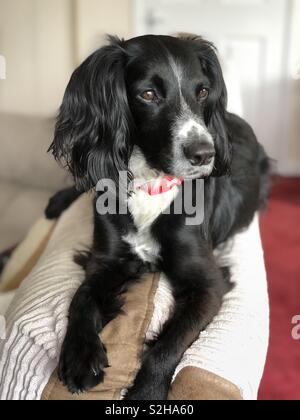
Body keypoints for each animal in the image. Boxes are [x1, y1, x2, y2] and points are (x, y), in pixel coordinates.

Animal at [45, 34, 270, 398]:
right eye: (148, 94)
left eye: (202, 91)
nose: (205, 154)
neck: (151, 184)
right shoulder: (106, 260)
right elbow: (80, 299)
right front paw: (80, 355)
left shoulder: (209, 284)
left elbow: (168, 344)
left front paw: (147, 392)